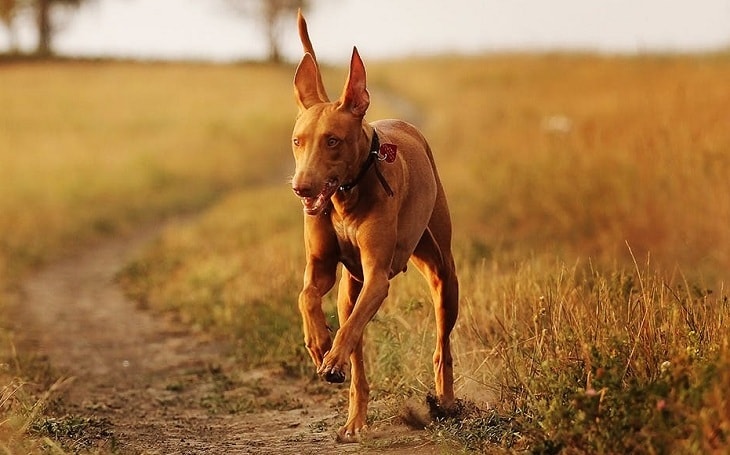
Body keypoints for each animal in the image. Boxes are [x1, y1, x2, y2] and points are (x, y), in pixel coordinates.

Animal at [288, 11, 456, 446]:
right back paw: (354, 418)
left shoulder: (379, 276)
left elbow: (347, 331)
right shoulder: (321, 270)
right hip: (351, 289)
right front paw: (318, 344)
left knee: (442, 346)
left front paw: (329, 354)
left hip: (442, 275)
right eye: (297, 141)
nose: (301, 188)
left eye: (332, 140)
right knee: (356, 349)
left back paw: (446, 403)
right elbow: (306, 297)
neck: (347, 196)